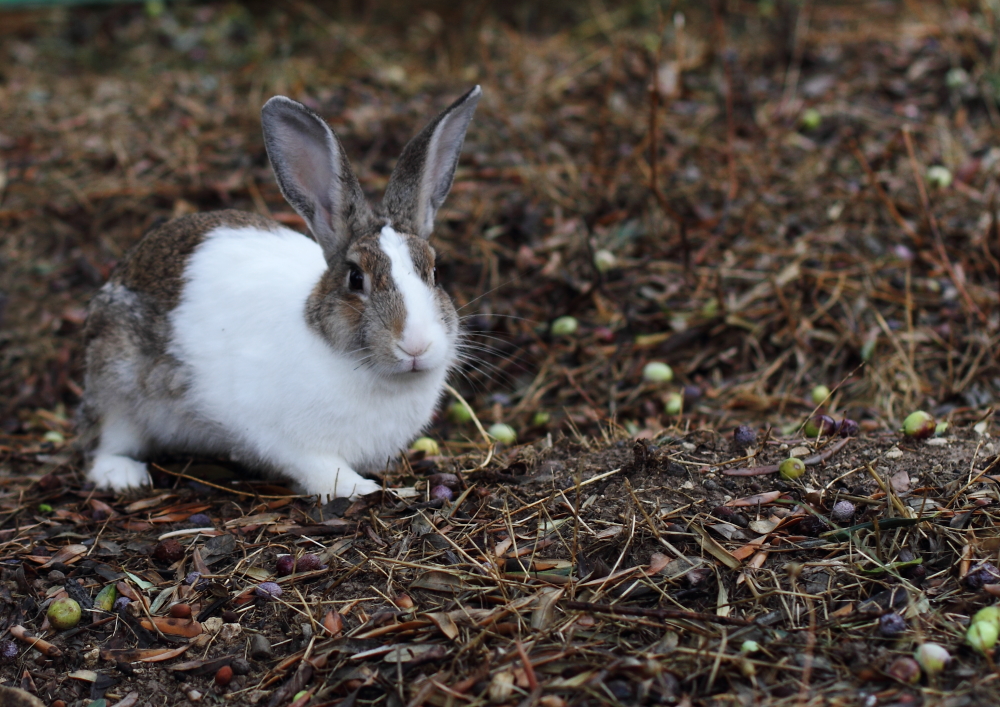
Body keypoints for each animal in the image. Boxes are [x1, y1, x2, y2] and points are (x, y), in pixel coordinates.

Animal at [76, 85, 482, 500]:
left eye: (435, 272)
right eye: (356, 279)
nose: (415, 346)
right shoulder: (285, 440)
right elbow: (322, 470)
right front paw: (363, 489)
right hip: (116, 378)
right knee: (107, 440)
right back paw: (122, 475)